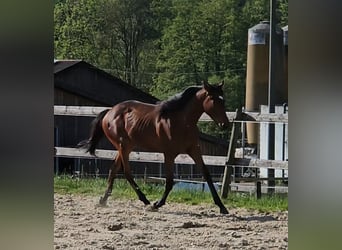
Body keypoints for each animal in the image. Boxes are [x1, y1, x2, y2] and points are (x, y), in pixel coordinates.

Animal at [79, 81, 230, 214]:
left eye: (223, 100)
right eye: (213, 99)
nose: (225, 124)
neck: (182, 122)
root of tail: (110, 112)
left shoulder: (194, 150)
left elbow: (207, 175)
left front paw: (222, 207)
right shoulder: (169, 154)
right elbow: (169, 181)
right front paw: (157, 204)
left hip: (125, 146)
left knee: (114, 169)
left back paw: (103, 200)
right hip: (124, 146)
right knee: (126, 172)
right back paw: (145, 200)